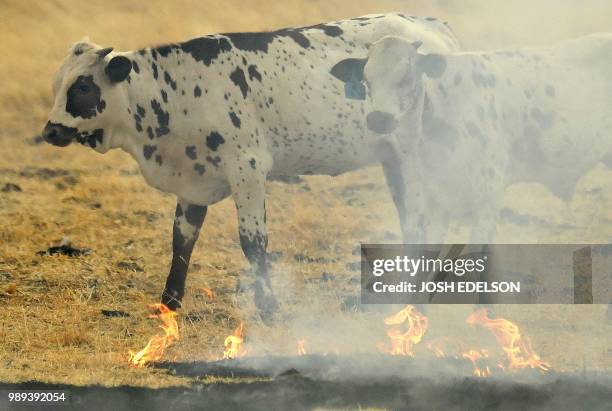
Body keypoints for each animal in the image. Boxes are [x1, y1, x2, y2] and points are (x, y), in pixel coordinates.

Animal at [40, 12, 460, 316]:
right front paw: (169, 301)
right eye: (57, 84)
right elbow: (182, 240)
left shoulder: (248, 169)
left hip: (414, 155)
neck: (177, 92)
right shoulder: (194, 183)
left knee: (419, 219)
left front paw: (269, 306)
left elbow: (253, 243)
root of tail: (429, 25)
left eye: (82, 86)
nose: (50, 130)